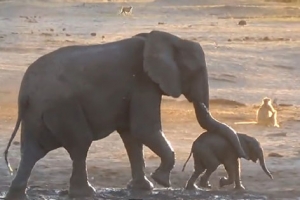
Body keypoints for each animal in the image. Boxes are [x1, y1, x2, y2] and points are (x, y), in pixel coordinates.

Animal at [2, 30, 243, 199]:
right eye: (197, 72)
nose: (219, 183)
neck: (160, 38)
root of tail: (25, 91)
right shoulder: (143, 82)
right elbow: (143, 130)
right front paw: (160, 181)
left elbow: (131, 136)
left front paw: (144, 187)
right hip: (62, 106)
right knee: (80, 143)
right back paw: (86, 193)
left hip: (38, 111)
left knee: (32, 150)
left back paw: (17, 194)